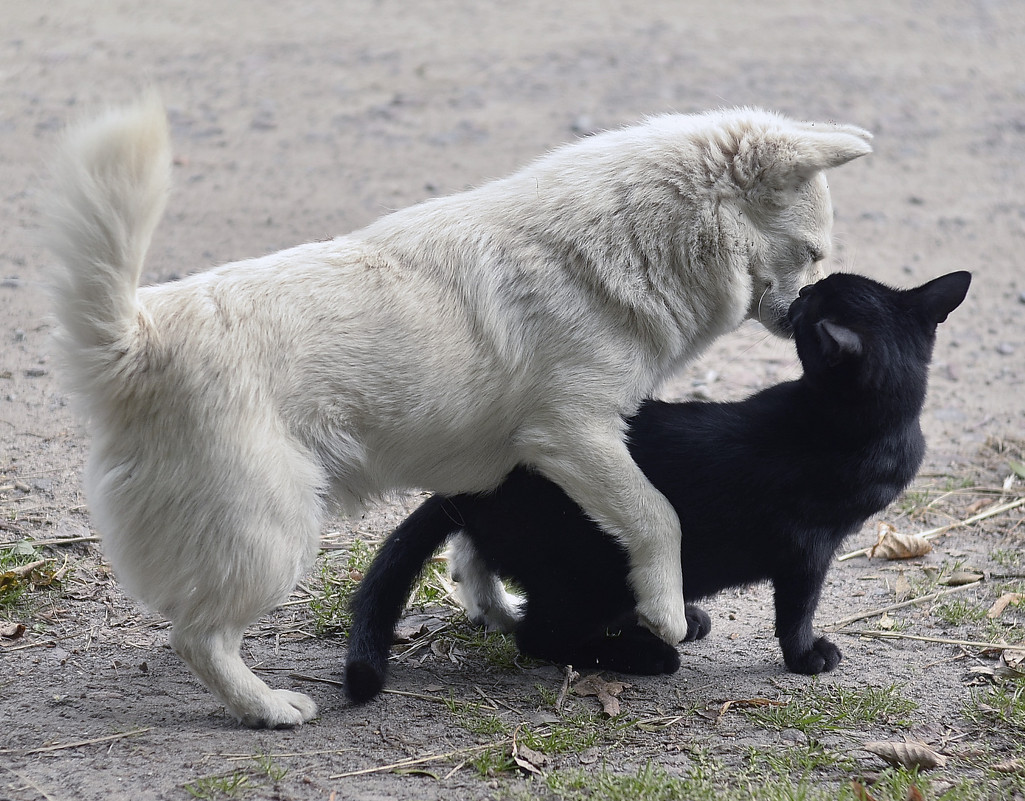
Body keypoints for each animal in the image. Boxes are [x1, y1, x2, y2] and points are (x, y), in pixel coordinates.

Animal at [44, 93, 869, 726]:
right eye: (812, 253)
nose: (806, 317)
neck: (627, 239)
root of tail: (138, 338)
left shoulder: (506, 462)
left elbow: (474, 549)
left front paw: (498, 608)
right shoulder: (578, 435)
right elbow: (656, 515)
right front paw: (662, 608)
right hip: (270, 534)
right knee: (200, 638)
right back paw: (267, 708)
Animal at [342, 268, 967, 701]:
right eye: (816, 295)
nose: (806, 285)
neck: (879, 426)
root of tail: (471, 488)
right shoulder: (808, 551)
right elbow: (796, 612)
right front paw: (807, 656)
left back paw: (676, 621)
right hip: (585, 578)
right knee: (540, 637)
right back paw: (647, 654)